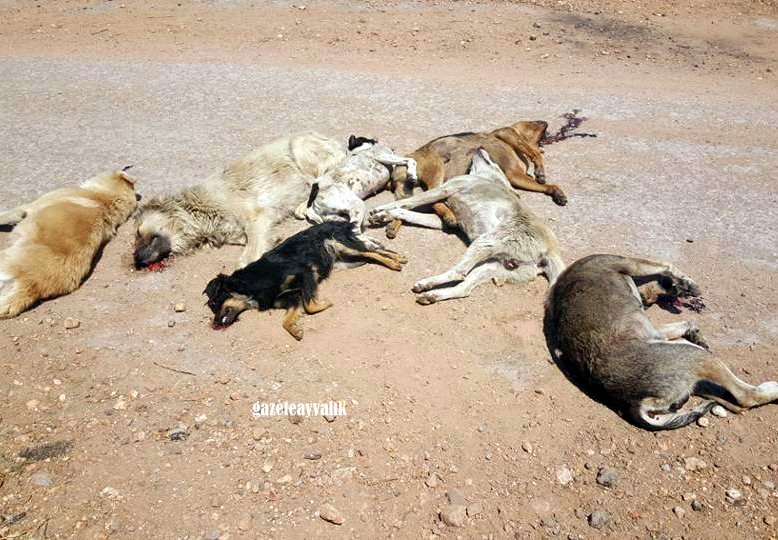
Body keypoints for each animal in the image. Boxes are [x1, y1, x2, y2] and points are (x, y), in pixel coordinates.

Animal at [133, 132, 346, 269]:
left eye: (138, 232)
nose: (135, 260)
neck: (196, 211)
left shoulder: (255, 217)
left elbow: (247, 256)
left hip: (299, 147)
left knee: (322, 177)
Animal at [203, 221, 407, 340]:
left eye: (214, 303)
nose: (213, 325)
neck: (251, 287)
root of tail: (335, 221)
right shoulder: (290, 299)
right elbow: (286, 320)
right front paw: (295, 329)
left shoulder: (305, 273)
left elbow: (310, 305)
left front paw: (324, 304)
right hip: (345, 261)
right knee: (372, 252)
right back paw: (398, 257)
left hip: (341, 245)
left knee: (371, 252)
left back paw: (394, 262)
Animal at [370, 148, 564, 304]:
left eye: (492, 161)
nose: (480, 147)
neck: (485, 178)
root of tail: (550, 250)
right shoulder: (443, 221)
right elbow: (408, 212)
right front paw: (385, 215)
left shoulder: (445, 189)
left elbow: (408, 202)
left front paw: (382, 209)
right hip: (493, 267)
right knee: (464, 289)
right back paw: (431, 294)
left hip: (485, 242)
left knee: (459, 272)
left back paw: (427, 284)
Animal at [385, 120, 566, 239]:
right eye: (534, 123)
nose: (545, 123)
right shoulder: (509, 143)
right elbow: (535, 155)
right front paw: (541, 172)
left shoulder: (517, 176)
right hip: (437, 168)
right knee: (432, 198)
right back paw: (448, 215)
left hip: (410, 187)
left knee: (414, 202)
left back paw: (393, 224)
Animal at [544, 254, 778, 430]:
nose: (684, 293)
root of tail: (633, 402)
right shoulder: (627, 263)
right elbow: (666, 265)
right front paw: (686, 282)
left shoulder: (654, 329)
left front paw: (693, 328)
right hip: (698, 358)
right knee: (745, 396)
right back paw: (771, 389)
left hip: (693, 374)